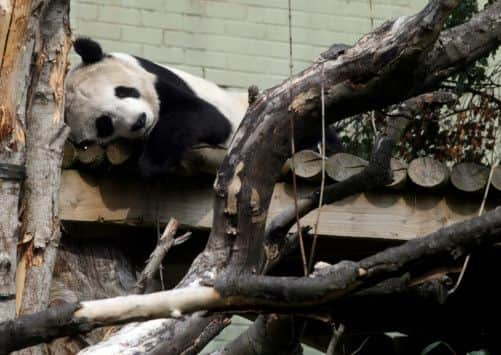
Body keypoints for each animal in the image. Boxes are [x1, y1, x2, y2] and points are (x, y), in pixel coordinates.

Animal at [64, 36, 248, 178]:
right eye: (104, 124)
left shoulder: (157, 80)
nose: (139, 121)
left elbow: (207, 117)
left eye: (122, 91)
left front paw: (153, 161)